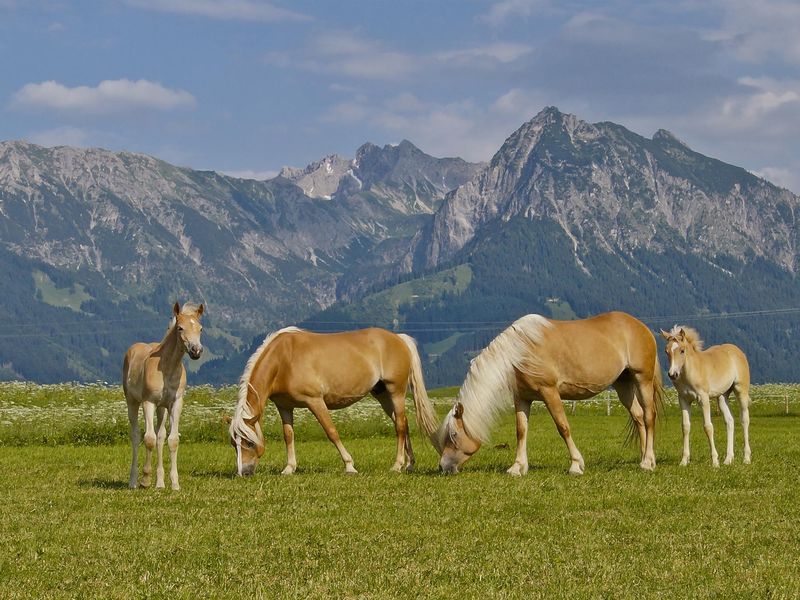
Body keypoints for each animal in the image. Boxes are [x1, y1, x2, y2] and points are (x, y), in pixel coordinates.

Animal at [122, 302, 205, 490]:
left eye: (200, 329)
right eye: (180, 328)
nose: (196, 351)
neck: (168, 367)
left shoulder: (176, 403)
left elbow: (172, 440)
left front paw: (174, 483)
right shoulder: (148, 402)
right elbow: (149, 439)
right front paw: (145, 480)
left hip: (162, 408)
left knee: (160, 436)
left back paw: (160, 483)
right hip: (132, 402)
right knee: (136, 435)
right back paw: (133, 481)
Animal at [228, 326, 440, 476]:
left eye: (249, 443)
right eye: (233, 444)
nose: (243, 473)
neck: (283, 359)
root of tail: (398, 338)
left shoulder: (315, 401)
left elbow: (331, 431)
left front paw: (349, 466)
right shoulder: (284, 406)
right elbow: (288, 435)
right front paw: (289, 468)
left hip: (396, 392)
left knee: (400, 427)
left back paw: (397, 465)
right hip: (383, 395)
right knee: (402, 423)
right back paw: (409, 464)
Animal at [438, 312, 664, 476]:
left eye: (454, 434)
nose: (442, 467)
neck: (520, 351)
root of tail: (641, 327)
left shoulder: (549, 392)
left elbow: (563, 427)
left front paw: (576, 465)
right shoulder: (522, 398)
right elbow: (521, 430)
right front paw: (517, 467)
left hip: (642, 379)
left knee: (649, 416)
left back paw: (647, 462)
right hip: (623, 384)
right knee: (638, 417)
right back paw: (647, 458)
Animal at [660, 326, 752, 466]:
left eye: (682, 350)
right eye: (667, 351)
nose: (672, 374)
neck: (691, 372)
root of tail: (737, 351)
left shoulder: (703, 398)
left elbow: (708, 427)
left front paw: (715, 461)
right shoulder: (683, 399)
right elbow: (685, 427)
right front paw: (684, 461)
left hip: (740, 390)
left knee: (744, 419)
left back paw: (746, 458)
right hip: (722, 397)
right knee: (729, 421)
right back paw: (728, 459)